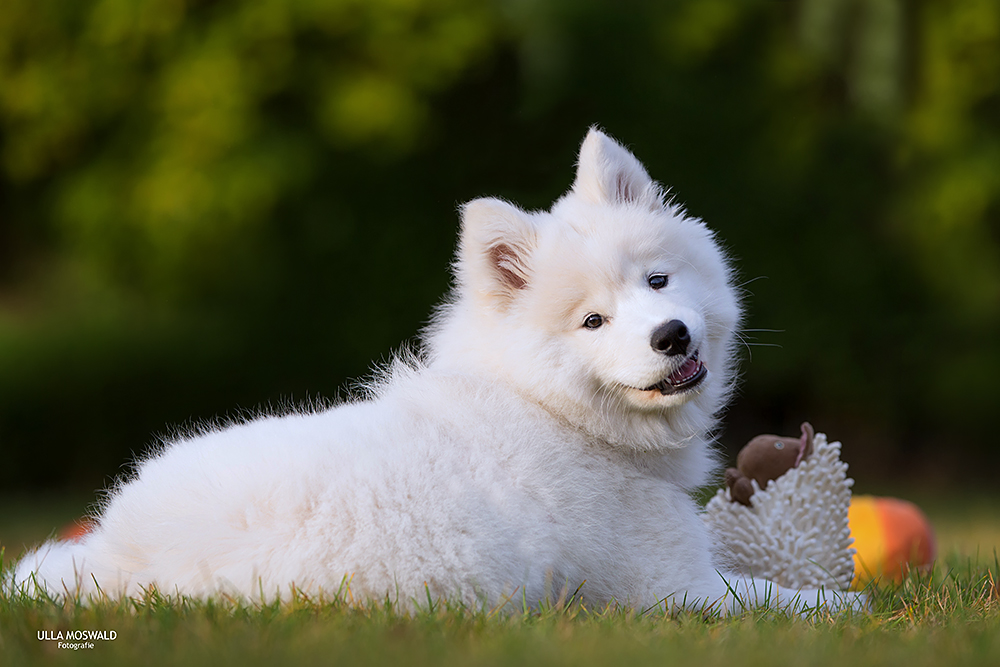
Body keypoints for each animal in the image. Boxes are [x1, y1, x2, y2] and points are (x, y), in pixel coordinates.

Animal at [9, 128, 844, 612]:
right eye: (593, 322)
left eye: (658, 281)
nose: (671, 336)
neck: (554, 408)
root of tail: (117, 558)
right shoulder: (674, 589)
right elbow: (792, 599)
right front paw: (850, 607)